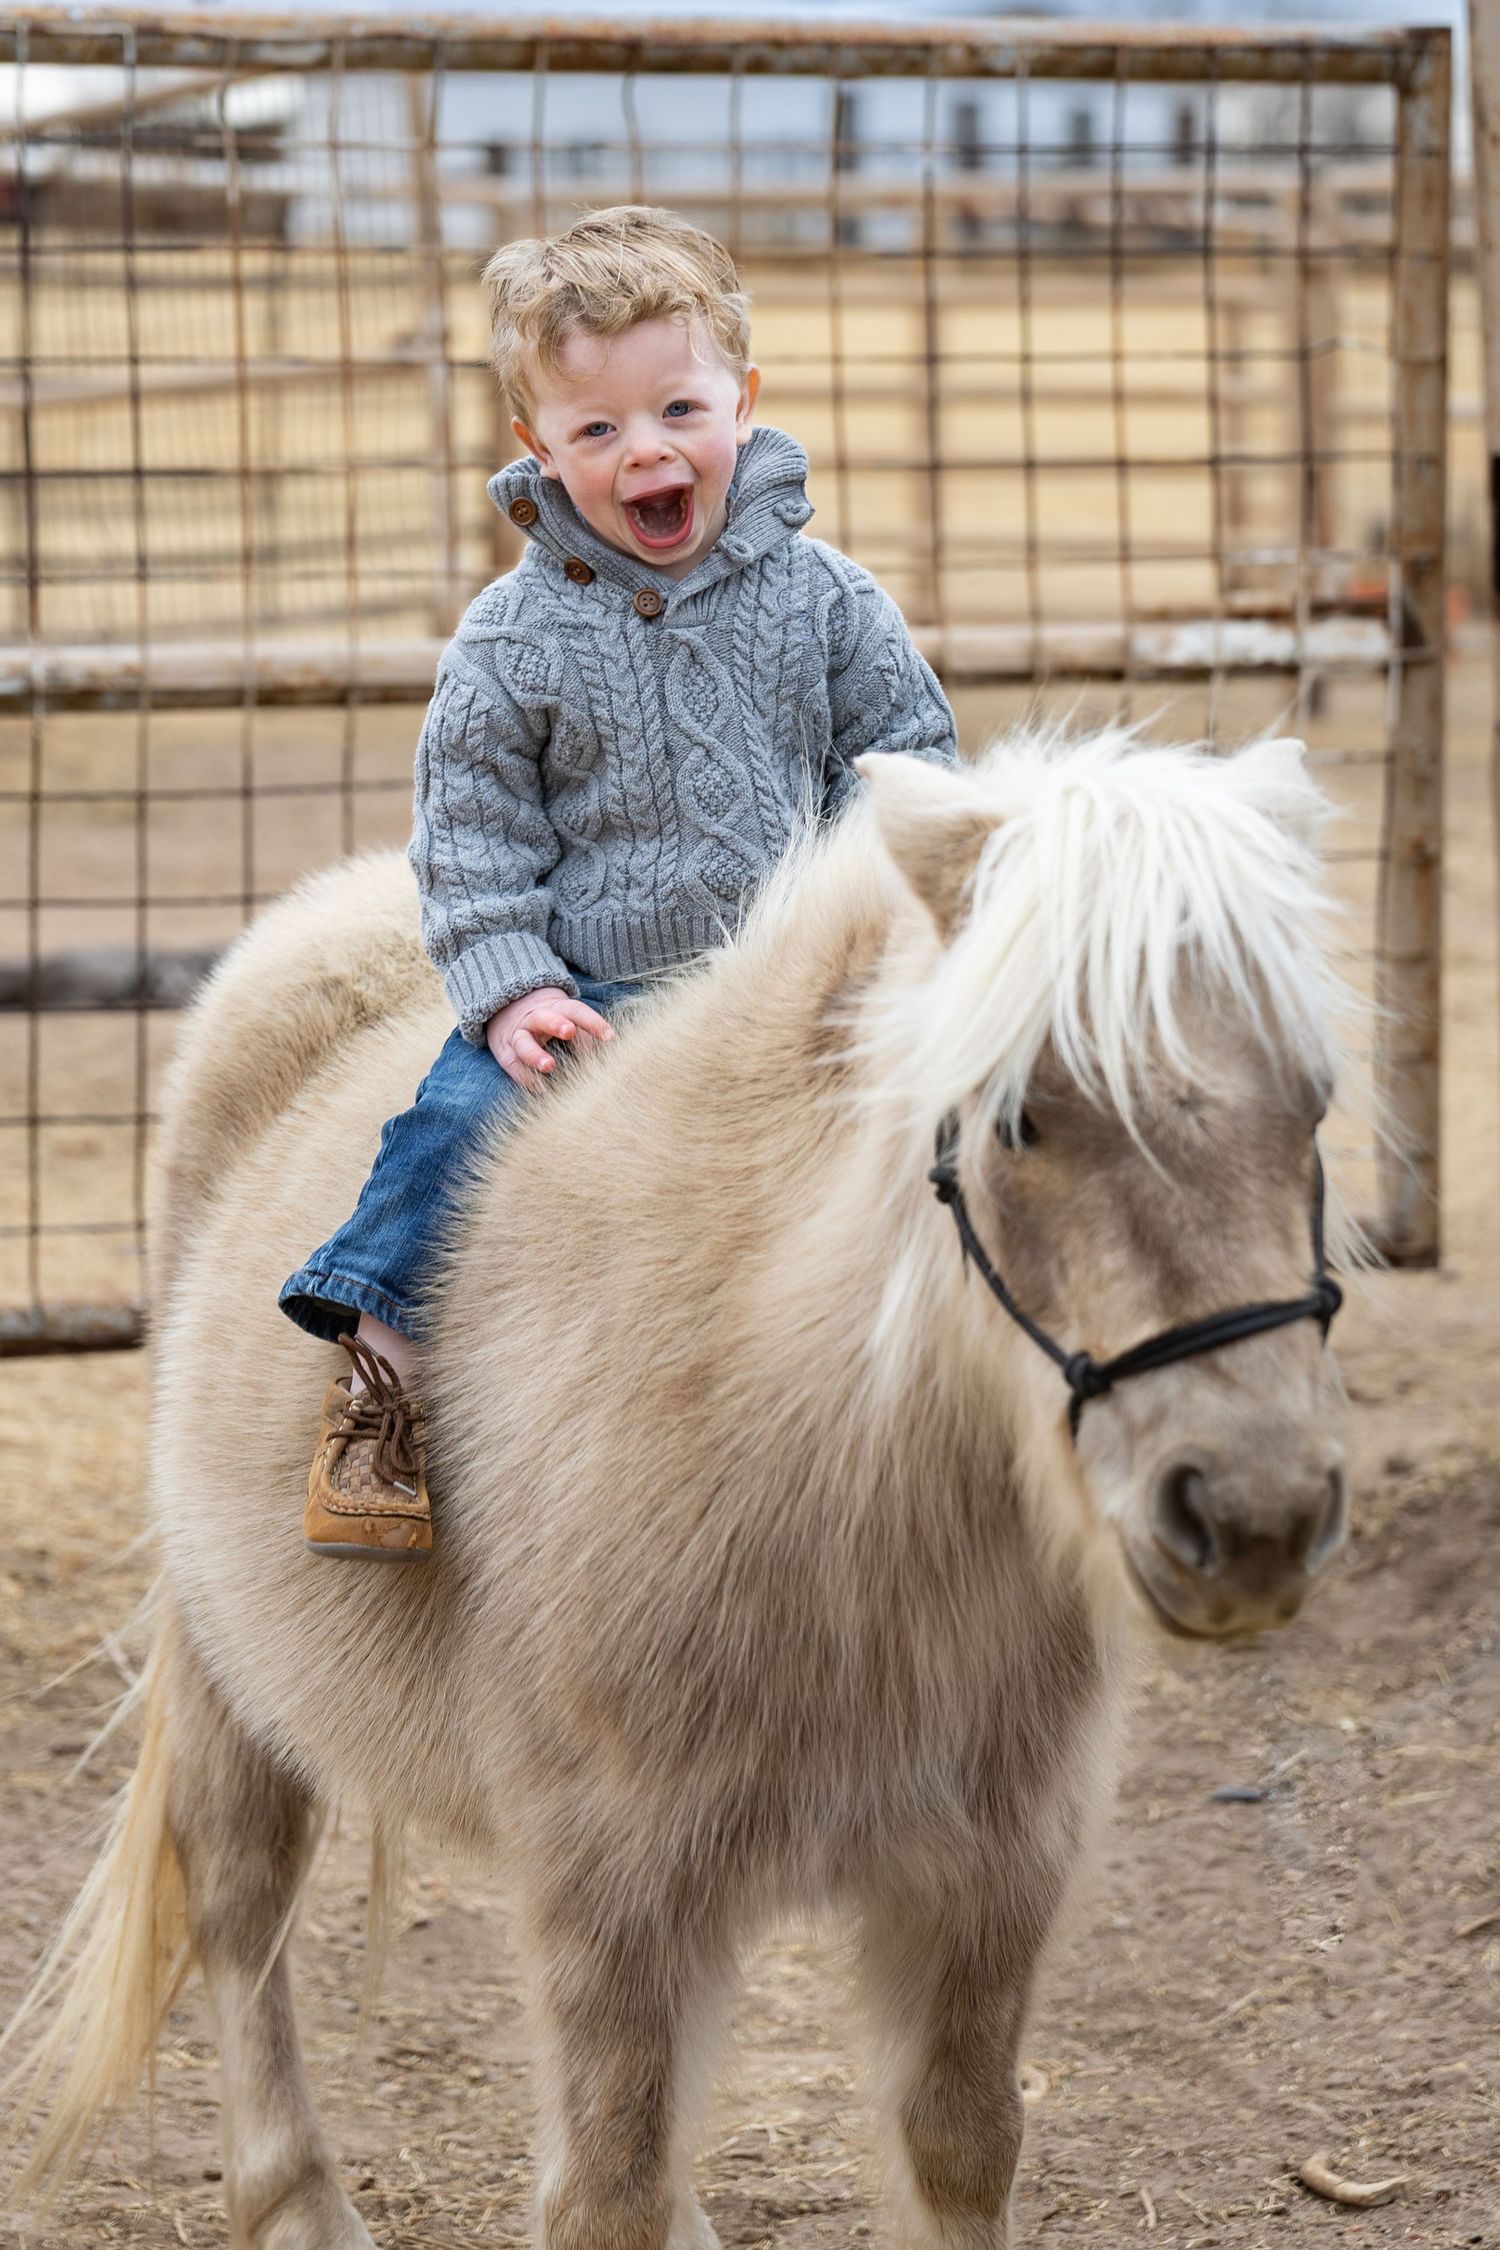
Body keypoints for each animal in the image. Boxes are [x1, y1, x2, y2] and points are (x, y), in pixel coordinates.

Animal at [5, 726, 1356, 2250]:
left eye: (1314, 1104)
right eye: (1020, 1116)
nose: (1253, 1514)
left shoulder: (989, 1877)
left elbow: (953, 2145)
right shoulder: (615, 1888)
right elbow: (604, 2186)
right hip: (229, 1666)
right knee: (240, 1896)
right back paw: (293, 2203)